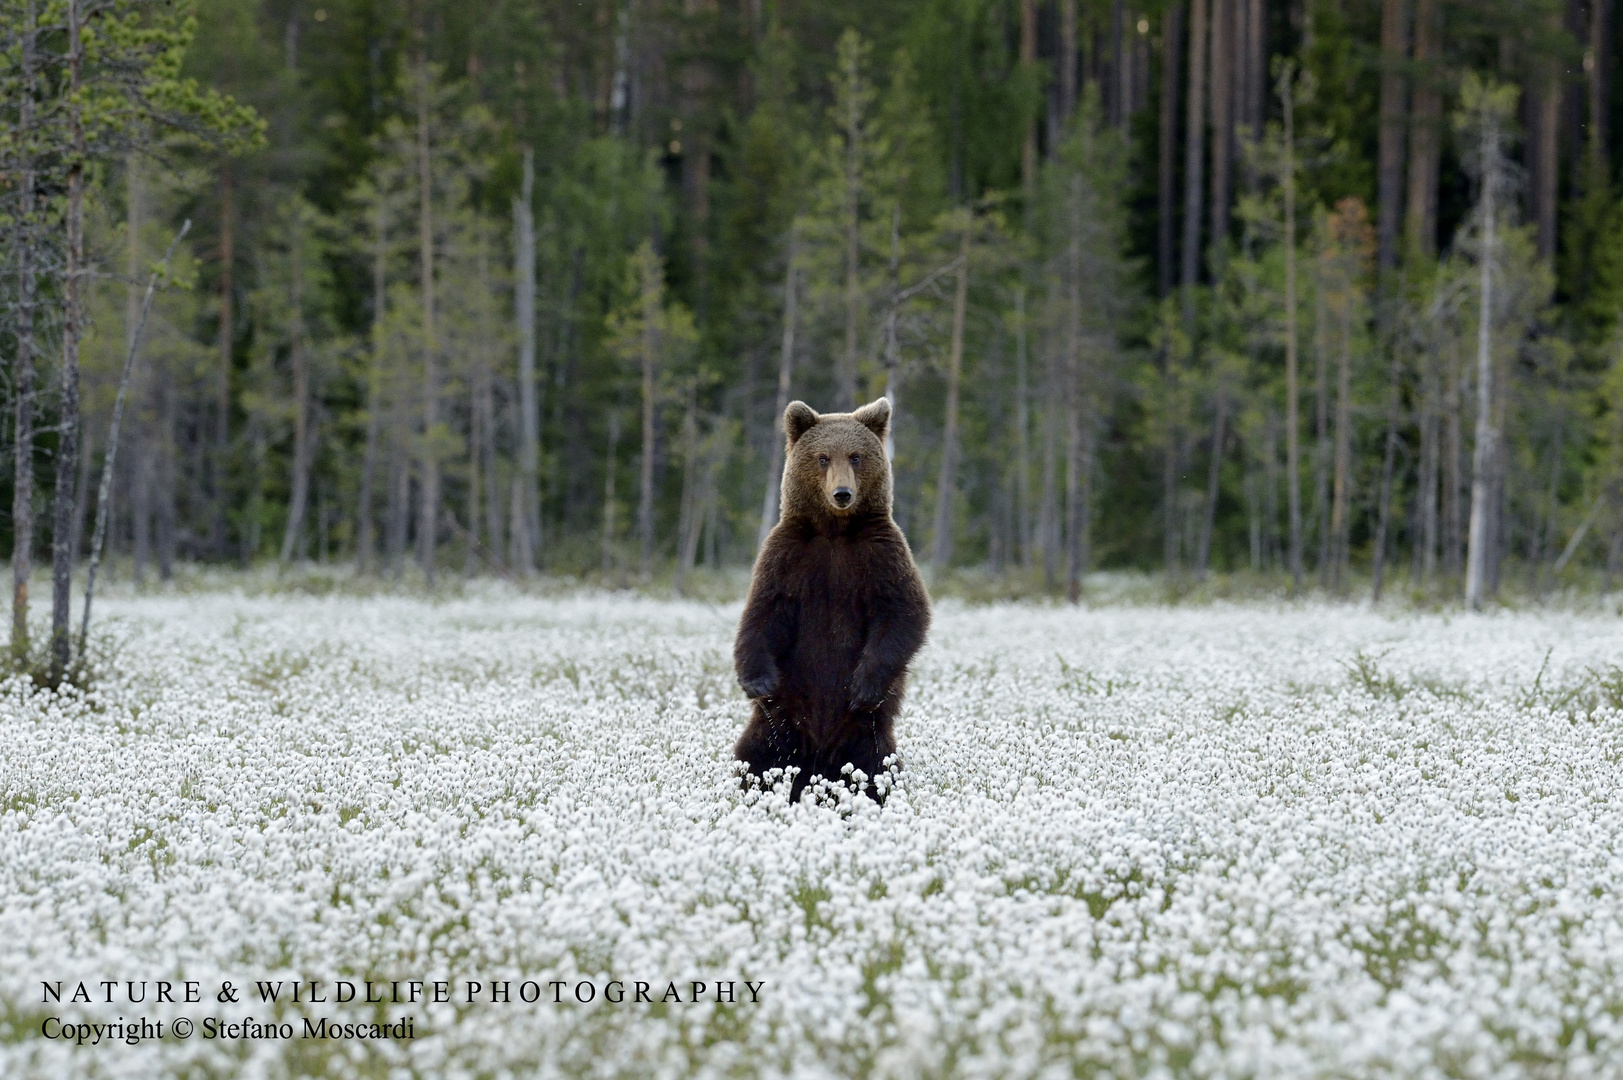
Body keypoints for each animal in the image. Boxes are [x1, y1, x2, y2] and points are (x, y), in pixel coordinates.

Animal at [733, 396, 928, 799]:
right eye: (823, 457)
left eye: (855, 456)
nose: (842, 493)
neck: (835, 531)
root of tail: (818, 763)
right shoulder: (789, 556)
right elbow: (762, 613)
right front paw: (757, 681)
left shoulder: (881, 554)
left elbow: (903, 613)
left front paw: (863, 686)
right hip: (781, 721)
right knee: (755, 755)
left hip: (866, 733)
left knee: (878, 765)